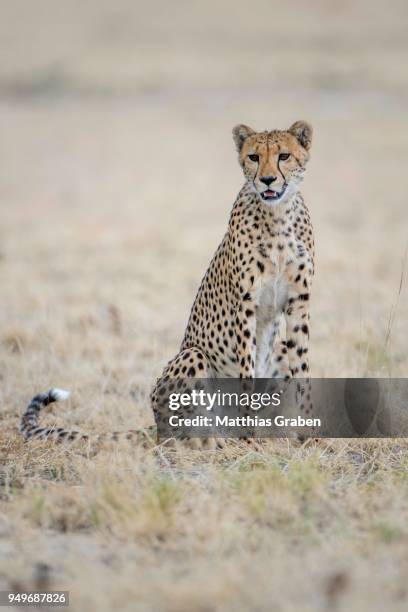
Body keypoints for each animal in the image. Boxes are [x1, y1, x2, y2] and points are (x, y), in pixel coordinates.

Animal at [19, 120, 316, 444]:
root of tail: (155, 424)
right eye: (253, 157)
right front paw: (249, 438)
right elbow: (247, 374)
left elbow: (302, 370)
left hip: (276, 349)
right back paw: (213, 439)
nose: (267, 180)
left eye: (284, 156)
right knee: (183, 431)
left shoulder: (298, 304)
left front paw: (309, 435)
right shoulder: (246, 305)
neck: (277, 217)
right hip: (192, 357)